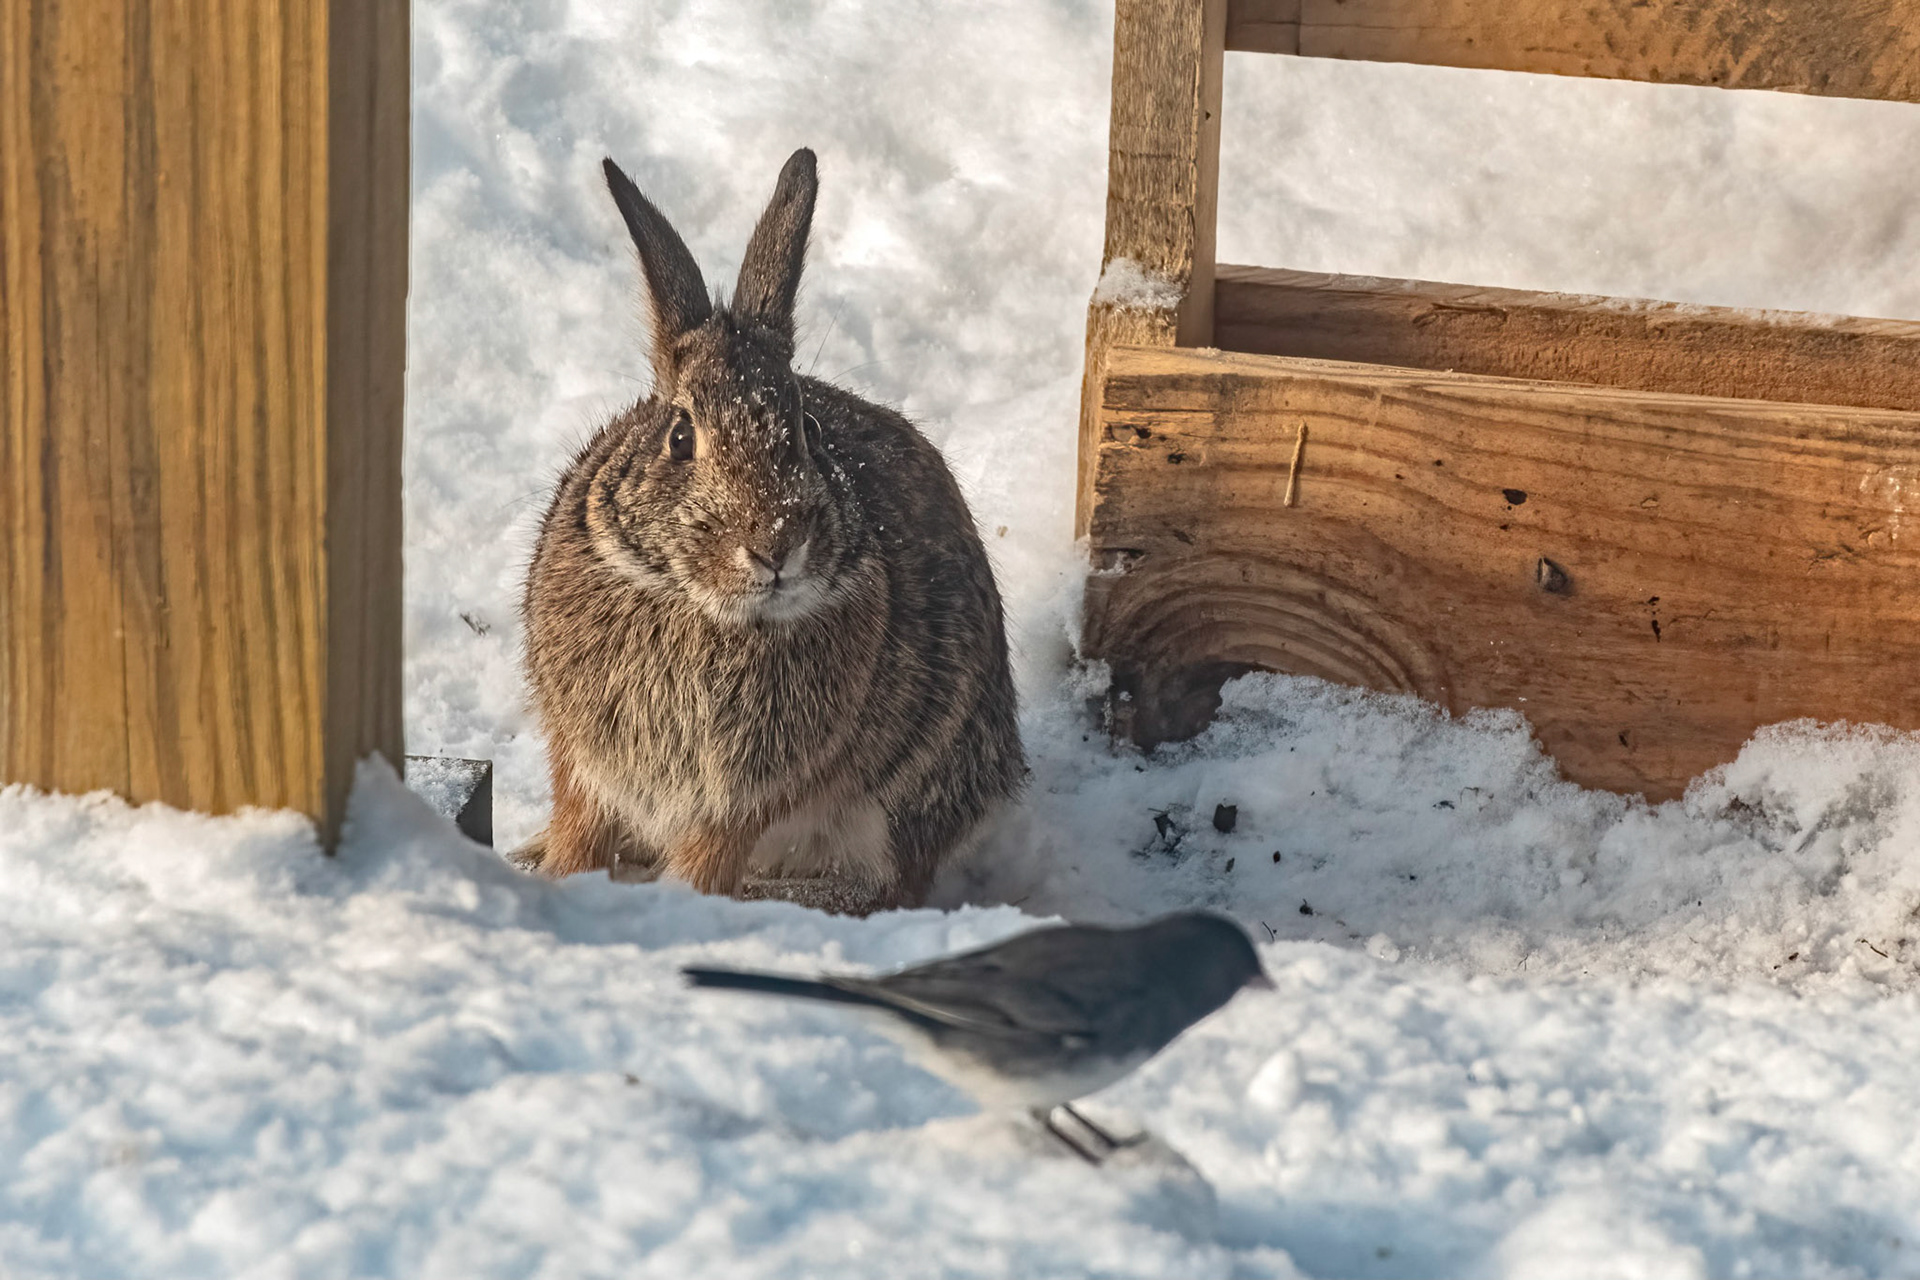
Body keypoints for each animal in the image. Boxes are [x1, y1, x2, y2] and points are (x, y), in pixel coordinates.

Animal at [517, 148, 1025, 912]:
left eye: (808, 429)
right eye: (680, 437)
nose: (776, 546)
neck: (702, 609)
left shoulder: (738, 802)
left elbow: (708, 859)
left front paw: (680, 904)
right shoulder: (585, 763)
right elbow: (578, 831)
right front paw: (554, 882)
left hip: (906, 788)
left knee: (884, 885)